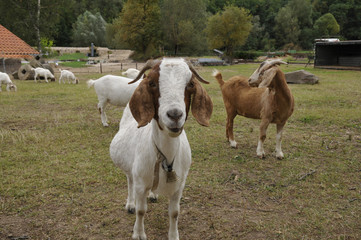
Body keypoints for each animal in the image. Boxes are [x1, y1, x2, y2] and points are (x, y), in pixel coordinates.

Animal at [109, 58, 211, 240]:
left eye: (190, 84)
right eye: (152, 83)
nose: (175, 115)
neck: (166, 156)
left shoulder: (180, 185)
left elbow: (174, 213)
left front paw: (173, 235)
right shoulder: (140, 182)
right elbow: (141, 211)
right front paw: (139, 233)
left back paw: (153, 195)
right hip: (130, 170)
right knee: (129, 182)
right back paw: (130, 204)